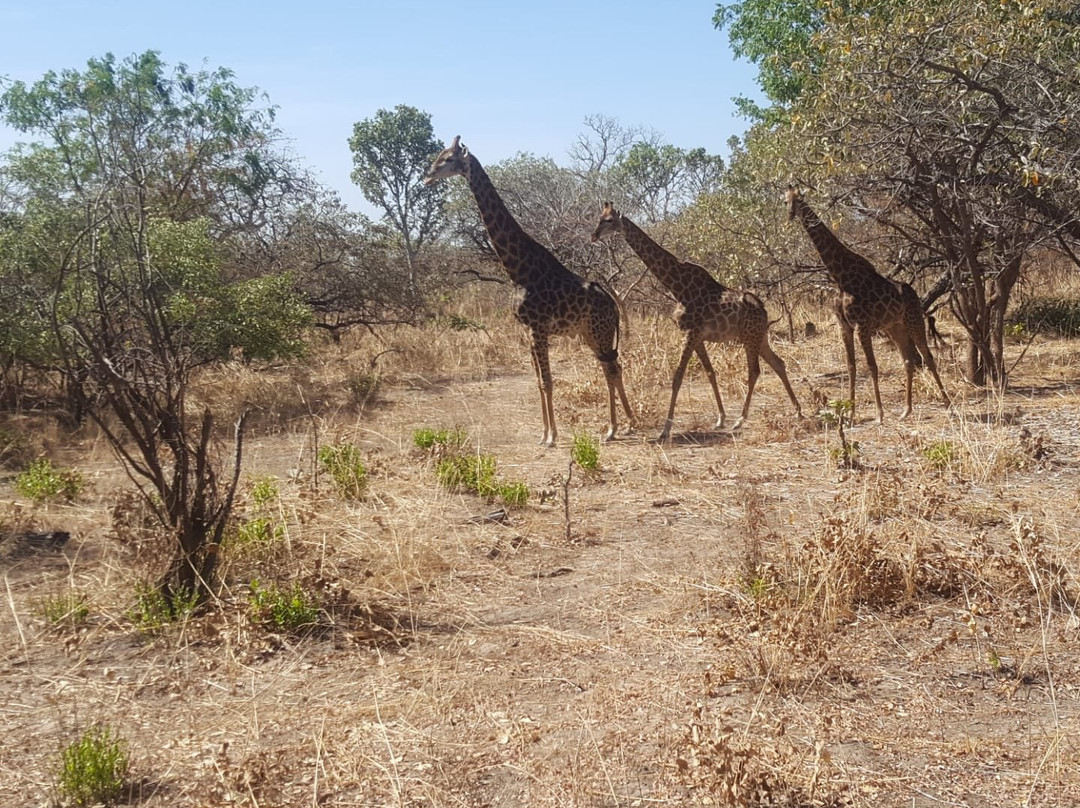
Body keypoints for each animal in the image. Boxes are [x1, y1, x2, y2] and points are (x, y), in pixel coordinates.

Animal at [423, 135, 630, 445]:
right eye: (439, 155)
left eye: (448, 159)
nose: (427, 177)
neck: (518, 269)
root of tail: (613, 307)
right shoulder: (527, 330)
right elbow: (537, 381)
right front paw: (544, 434)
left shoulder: (538, 329)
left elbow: (547, 381)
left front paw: (552, 436)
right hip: (590, 334)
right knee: (612, 367)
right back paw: (622, 425)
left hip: (600, 333)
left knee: (611, 368)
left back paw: (616, 428)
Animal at [591, 202, 803, 442]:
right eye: (599, 217)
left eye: (609, 220)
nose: (594, 235)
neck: (677, 287)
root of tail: (763, 309)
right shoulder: (698, 336)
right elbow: (710, 372)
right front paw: (720, 418)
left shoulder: (690, 333)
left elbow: (677, 377)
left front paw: (666, 430)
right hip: (759, 337)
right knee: (778, 363)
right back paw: (798, 411)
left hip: (750, 338)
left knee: (755, 371)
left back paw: (741, 420)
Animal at [786, 184, 946, 423]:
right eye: (785, 201)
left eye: (797, 200)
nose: (789, 215)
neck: (841, 278)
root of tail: (913, 293)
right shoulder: (845, 326)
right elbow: (851, 367)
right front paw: (851, 414)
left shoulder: (862, 325)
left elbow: (872, 366)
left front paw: (879, 414)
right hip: (894, 326)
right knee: (908, 360)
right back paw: (906, 410)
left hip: (914, 320)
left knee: (927, 356)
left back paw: (948, 404)